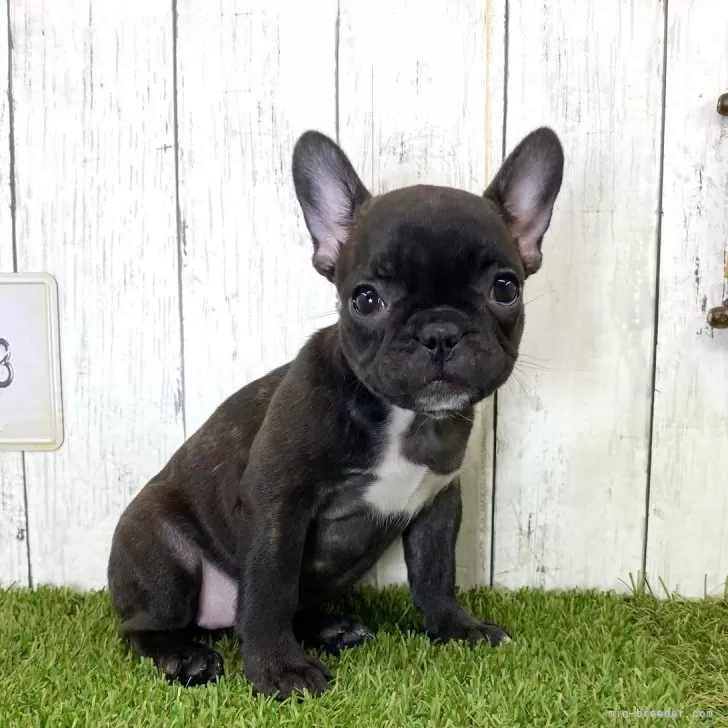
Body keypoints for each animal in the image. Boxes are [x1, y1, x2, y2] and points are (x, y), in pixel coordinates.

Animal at [106, 126, 564, 700]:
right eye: (365, 300)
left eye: (505, 288)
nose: (440, 331)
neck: (401, 417)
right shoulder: (280, 503)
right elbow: (271, 590)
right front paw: (279, 669)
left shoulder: (438, 502)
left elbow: (435, 574)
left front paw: (457, 628)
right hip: (165, 558)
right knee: (145, 625)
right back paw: (182, 657)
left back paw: (330, 627)